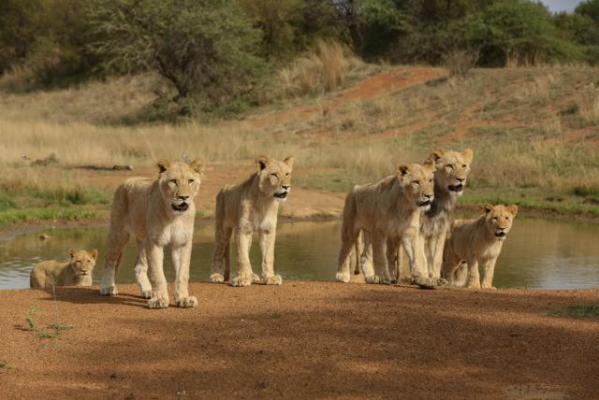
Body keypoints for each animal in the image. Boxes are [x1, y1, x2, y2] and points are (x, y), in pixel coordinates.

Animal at [97, 160, 203, 310]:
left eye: (190, 181)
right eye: (173, 181)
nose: (184, 197)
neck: (174, 216)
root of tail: (127, 181)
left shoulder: (181, 243)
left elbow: (182, 274)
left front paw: (183, 299)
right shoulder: (155, 243)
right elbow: (157, 274)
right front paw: (160, 300)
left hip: (143, 240)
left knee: (139, 266)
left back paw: (148, 291)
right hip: (119, 234)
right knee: (110, 260)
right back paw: (108, 287)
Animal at [210, 155, 294, 288]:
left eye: (287, 174)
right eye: (274, 175)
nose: (286, 187)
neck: (265, 200)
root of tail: (225, 187)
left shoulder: (267, 230)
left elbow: (268, 256)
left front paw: (270, 277)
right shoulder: (243, 230)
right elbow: (242, 256)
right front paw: (243, 279)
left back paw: (253, 275)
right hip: (222, 230)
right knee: (217, 251)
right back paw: (216, 275)